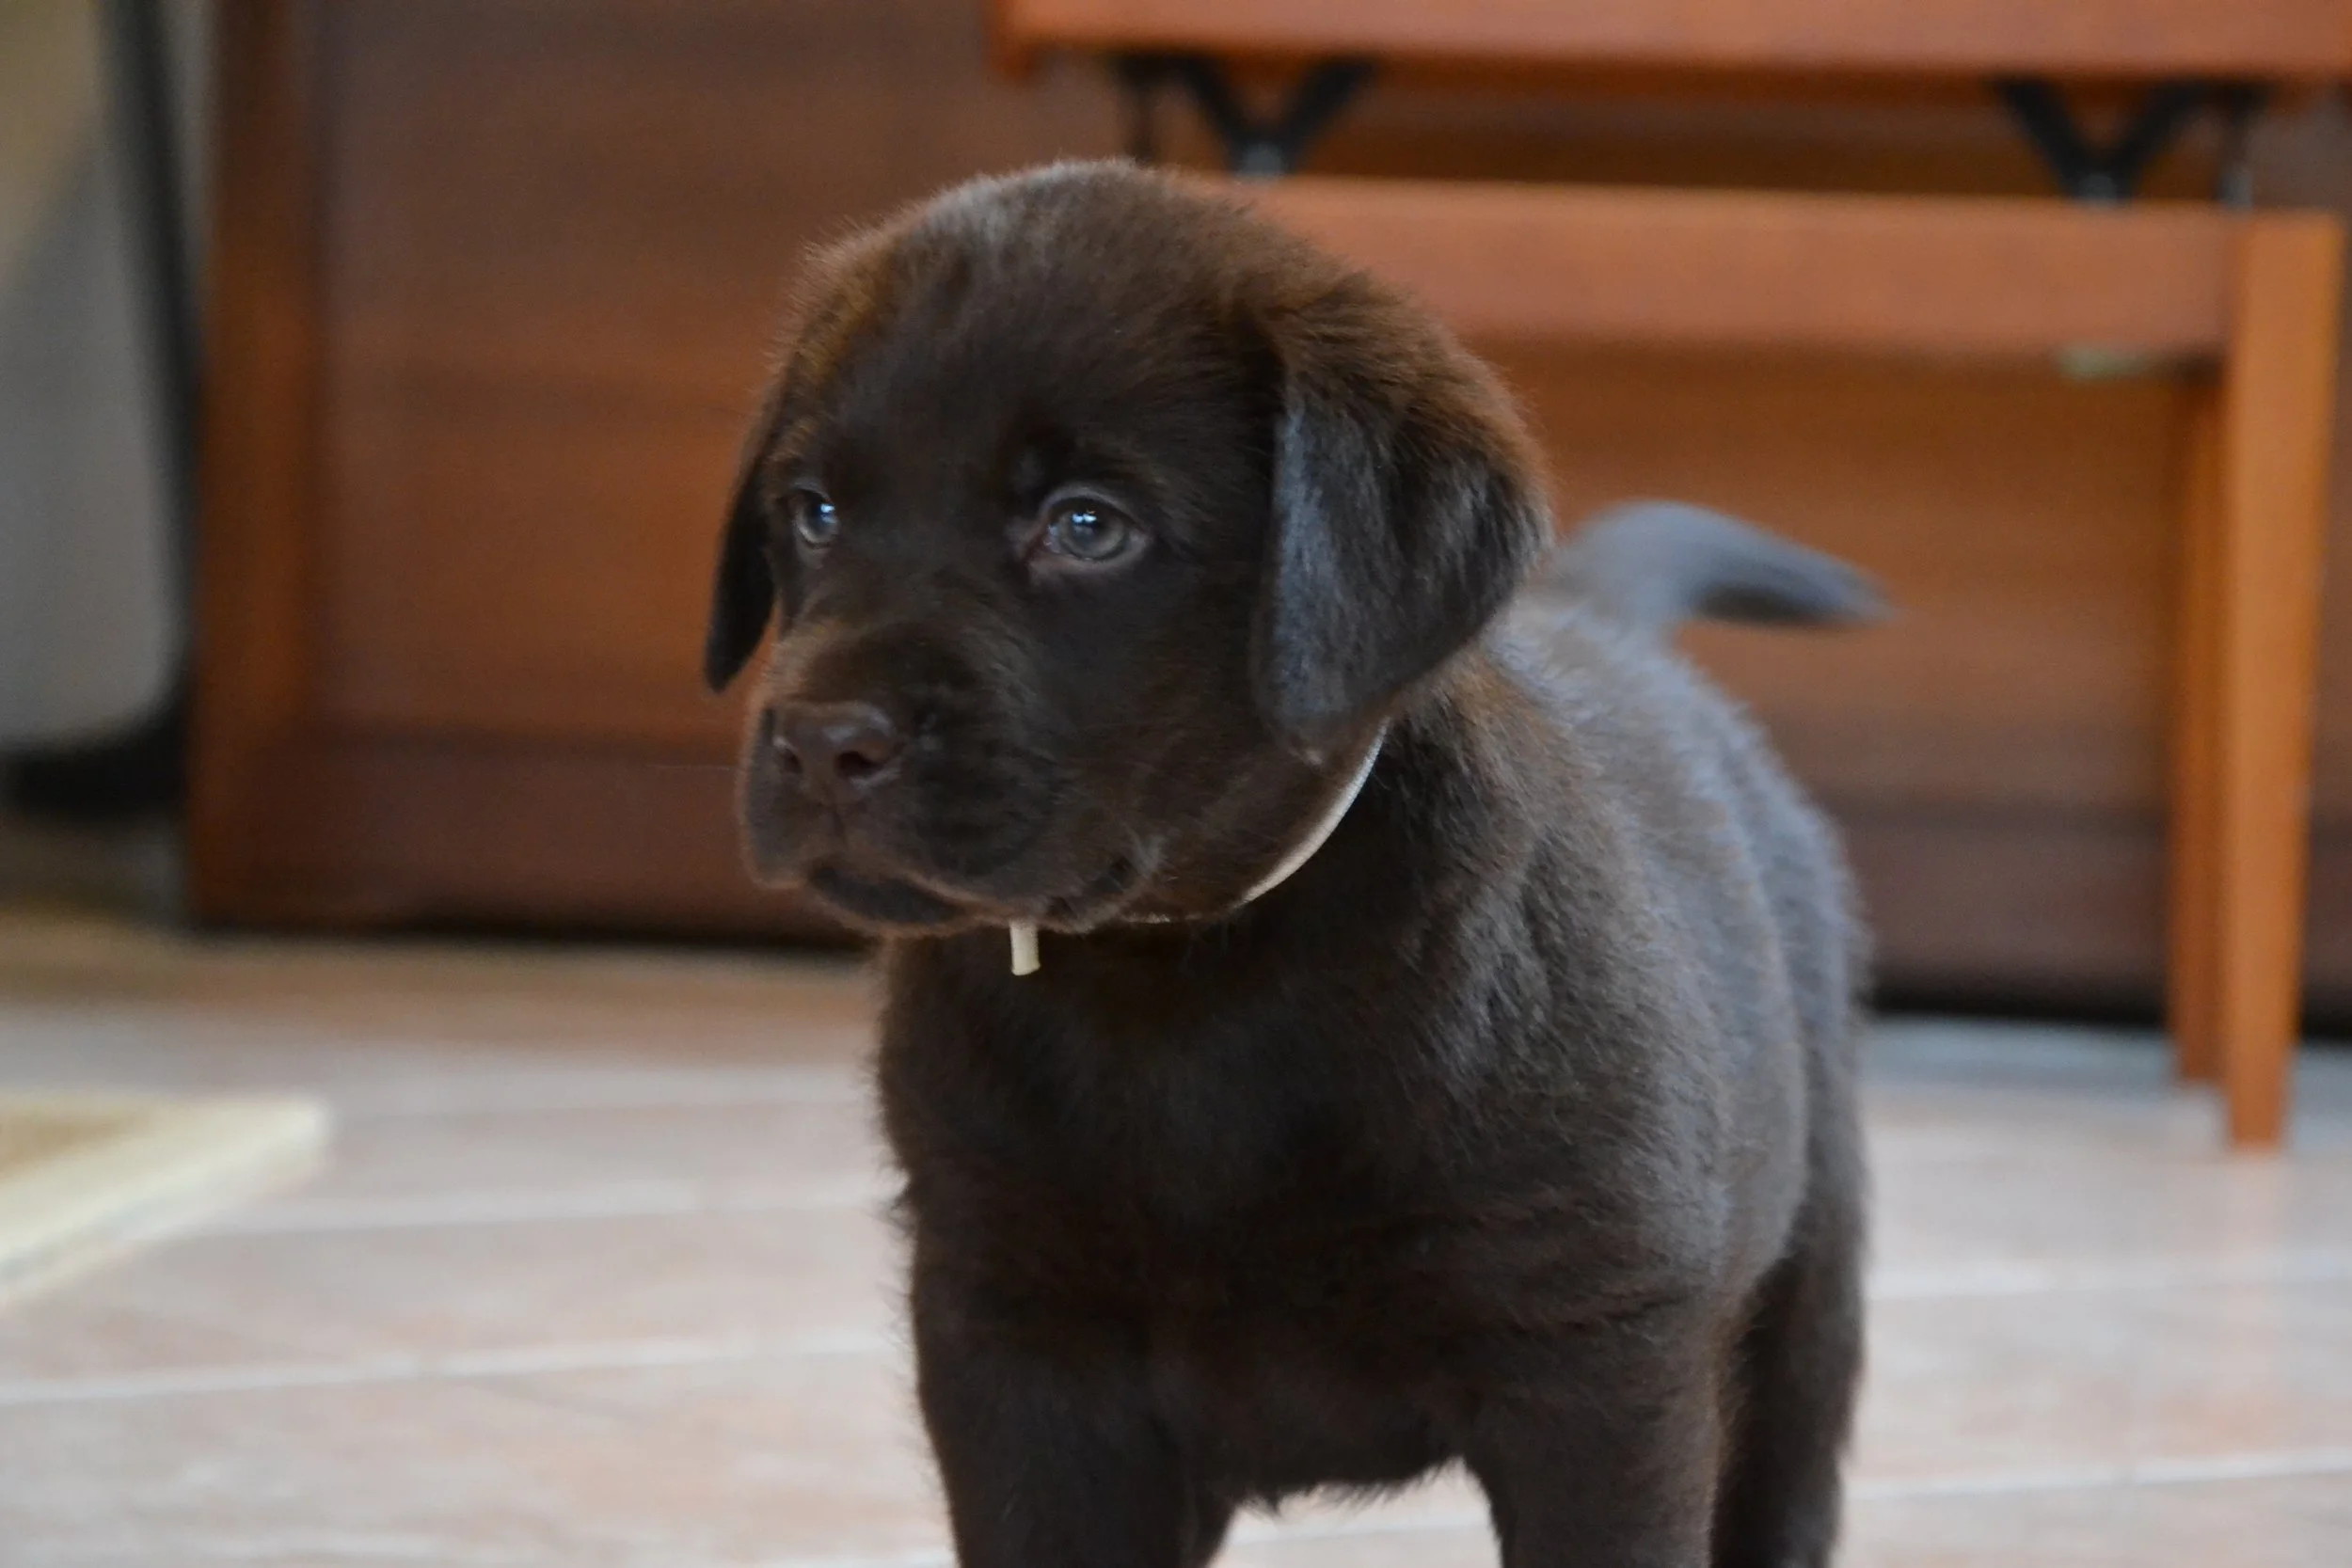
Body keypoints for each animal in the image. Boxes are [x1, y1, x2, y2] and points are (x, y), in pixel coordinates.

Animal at [703, 161, 1874, 1568]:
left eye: (1087, 525)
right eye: (812, 513)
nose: (821, 739)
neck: (1179, 975)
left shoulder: (1597, 1349)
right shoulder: (1014, 1341)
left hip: (1806, 1297)